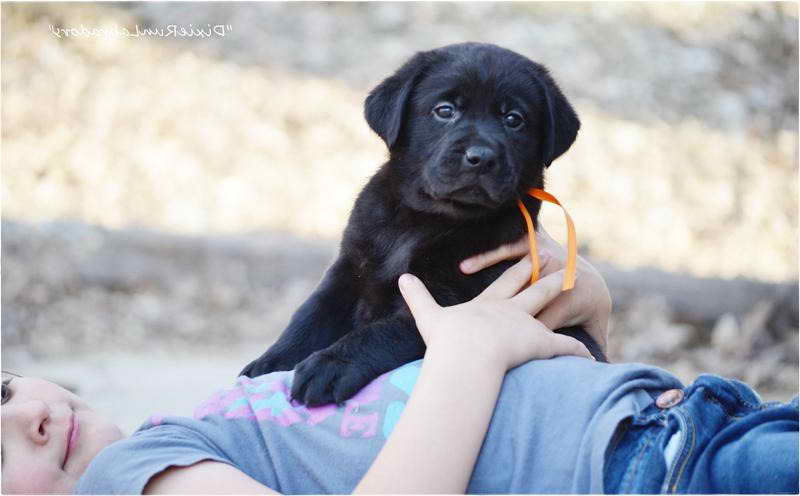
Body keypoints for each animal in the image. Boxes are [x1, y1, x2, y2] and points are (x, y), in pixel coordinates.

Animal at [241, 42, 604, 404]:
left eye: (514, 119)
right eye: (445, 110)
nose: (481, 157)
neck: (422, 220)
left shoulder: (451, 303)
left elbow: (383, 332)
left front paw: (331, 365)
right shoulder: (349, 269)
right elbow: (310, 316)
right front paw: (267, 365)